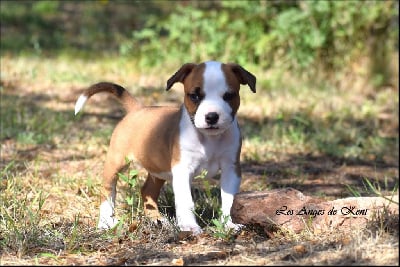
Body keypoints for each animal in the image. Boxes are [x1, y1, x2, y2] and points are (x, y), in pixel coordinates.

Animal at [75, 61, 256, 234]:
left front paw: (230, 224)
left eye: (229, 95)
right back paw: (105, 222)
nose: (212, 116)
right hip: (116, 162)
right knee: (108, 190)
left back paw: (158, 220)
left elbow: (229, 199)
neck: (209, 139)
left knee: (147, 191)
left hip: (158, 169)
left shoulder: (231, 169)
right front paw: (189, 226)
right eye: (195, 96)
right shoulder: (182, 169)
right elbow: (186, 201)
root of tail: (137, 109)